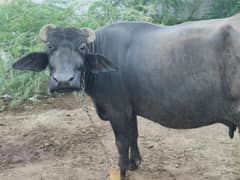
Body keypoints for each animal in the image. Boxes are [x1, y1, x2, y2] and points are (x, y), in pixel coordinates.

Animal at [13, 21, 240, 179]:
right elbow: (133, 135)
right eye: (50, 46)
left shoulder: (118, 110)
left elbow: (121, 142)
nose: (63, 81)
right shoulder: (130, 110)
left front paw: (122, 171)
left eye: (82, 47)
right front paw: (134, 163)